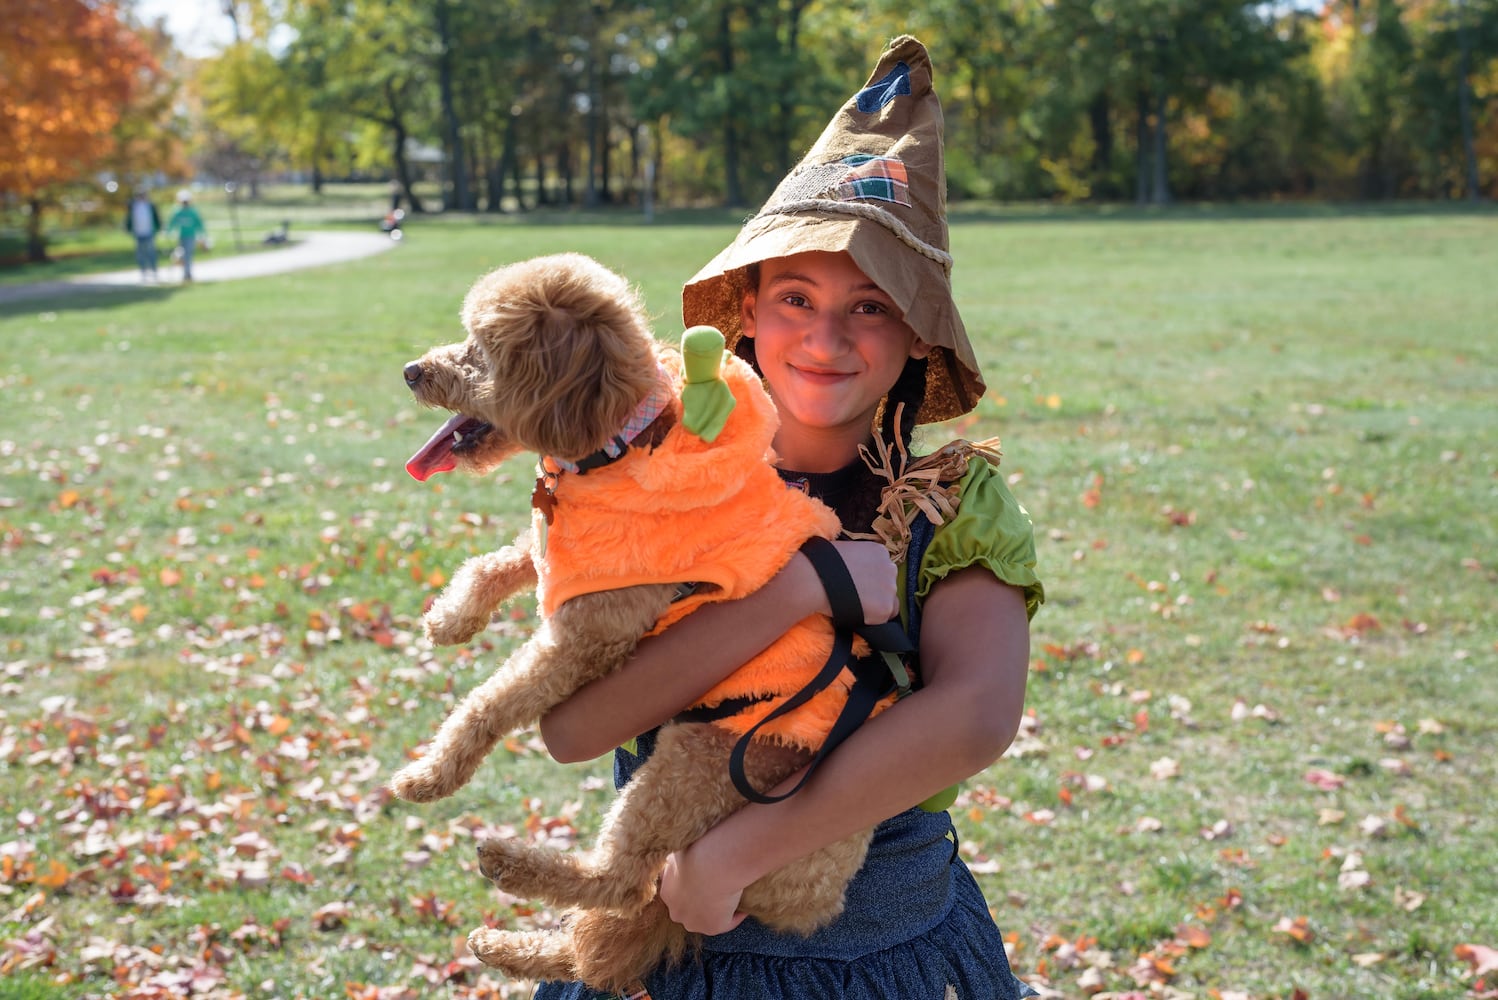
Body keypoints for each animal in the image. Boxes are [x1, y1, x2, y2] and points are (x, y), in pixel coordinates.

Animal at [389, 251, 898, 994]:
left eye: (481, 348)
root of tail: (816, 896)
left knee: (621, 884)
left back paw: (509, 864)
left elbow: (488, 704)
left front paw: (430, 776)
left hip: (697, 766)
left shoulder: (585, 640)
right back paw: (508, 947)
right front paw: (450, 620)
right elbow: (498, 564)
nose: (411, 370)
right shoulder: (565, 565)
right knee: (600, 945)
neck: (619, 447)